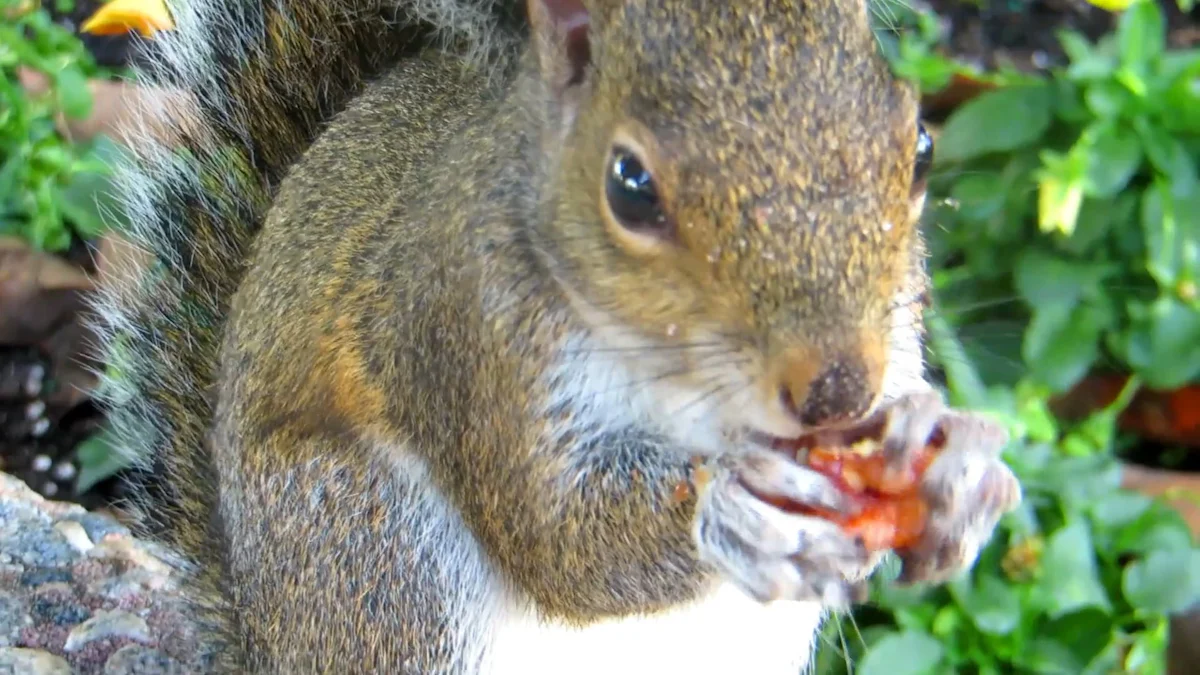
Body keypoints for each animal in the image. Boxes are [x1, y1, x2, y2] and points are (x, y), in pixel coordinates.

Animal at [93, 0, 1022, 667]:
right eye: (630, 186)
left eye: (922, 145)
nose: (836, 387)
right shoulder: (466, 333)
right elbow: (561, 543)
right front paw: (734, 506)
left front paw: (959, 465)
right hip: (375, 556)